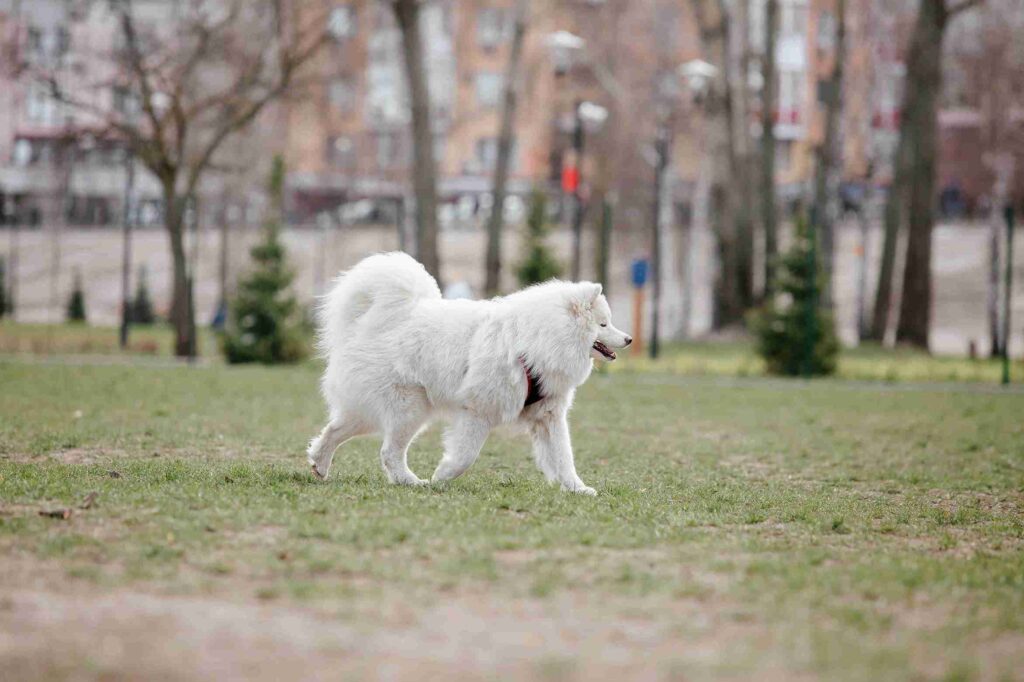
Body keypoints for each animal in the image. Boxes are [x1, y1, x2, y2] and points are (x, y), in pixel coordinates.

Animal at [303, 249, 626, 493]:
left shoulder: (548, 416)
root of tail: (386, 319)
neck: (533, 341)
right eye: (603, 324)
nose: (629, 339)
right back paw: (412, 482)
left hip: (389, 410)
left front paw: (578, 488)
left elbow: (563, 458)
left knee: (336, 430)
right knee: (388, 452)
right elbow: (466, 455)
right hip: (409, 408)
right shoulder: (478, 411)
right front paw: (442, 475)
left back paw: (320, 465)